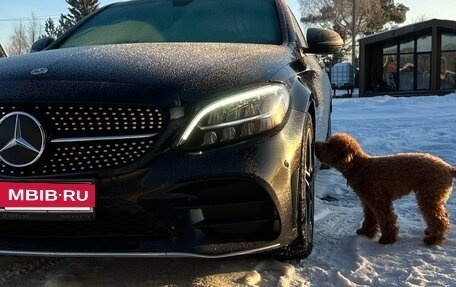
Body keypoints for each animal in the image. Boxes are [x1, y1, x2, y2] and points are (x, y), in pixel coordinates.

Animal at [314, 134, 456, 246]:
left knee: (439, 219)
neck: (359, 168)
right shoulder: (368, 201)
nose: (315, 144)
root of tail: (449, 168)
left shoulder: (379, 200)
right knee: (442, 215)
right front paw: (366, 231)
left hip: (429, 194)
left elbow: (387, 219)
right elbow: (370, 218)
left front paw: (387, 239)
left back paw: (434, 239)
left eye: (330, 145)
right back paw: (431, 232)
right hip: (434, 196)